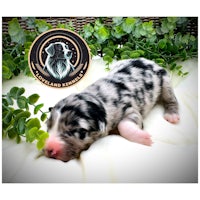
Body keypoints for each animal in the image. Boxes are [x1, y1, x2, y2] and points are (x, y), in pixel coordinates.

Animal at [45, 57, 180, 161]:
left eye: (80, 131)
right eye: (48, 126)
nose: (49, 149)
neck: (100, 98)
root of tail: (149, 60)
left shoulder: (130, 109)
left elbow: (123, 125)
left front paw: (144, 137)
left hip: (165, 81)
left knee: (171, 99)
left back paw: (172, 115)